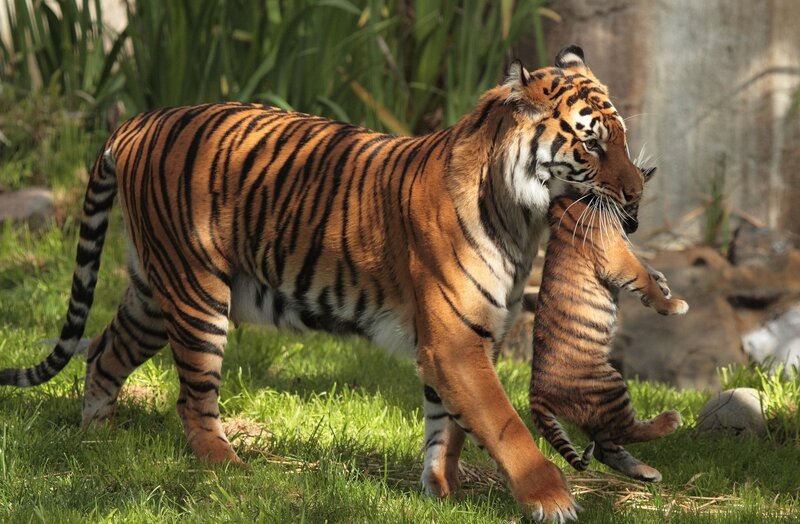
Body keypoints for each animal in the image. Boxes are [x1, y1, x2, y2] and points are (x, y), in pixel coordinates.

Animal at [1, 45, 648, 522]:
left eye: (620, 138)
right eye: (592, 142)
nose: (637, 193)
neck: (522, 219)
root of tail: (138, 120)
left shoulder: (463, 339)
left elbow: (449, 427)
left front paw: (442, 493)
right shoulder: (455, 340)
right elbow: (503, 423)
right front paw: (552, 499)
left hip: (156, 292)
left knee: (103, 351)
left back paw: (98, 439)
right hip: (197, 293)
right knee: (191, 397)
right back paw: (226, 467)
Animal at [530, 167, 689, 483]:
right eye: (634, 201)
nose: (635, 227)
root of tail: (536, 393)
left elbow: (648, 270)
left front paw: (663, 283)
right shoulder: (617, 258)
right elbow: (643, 279)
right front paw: (673, 305)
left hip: (599, 408)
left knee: (606, 448)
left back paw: (647, 472)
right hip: (608, 386)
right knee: (625, 432)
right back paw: (670, 421)